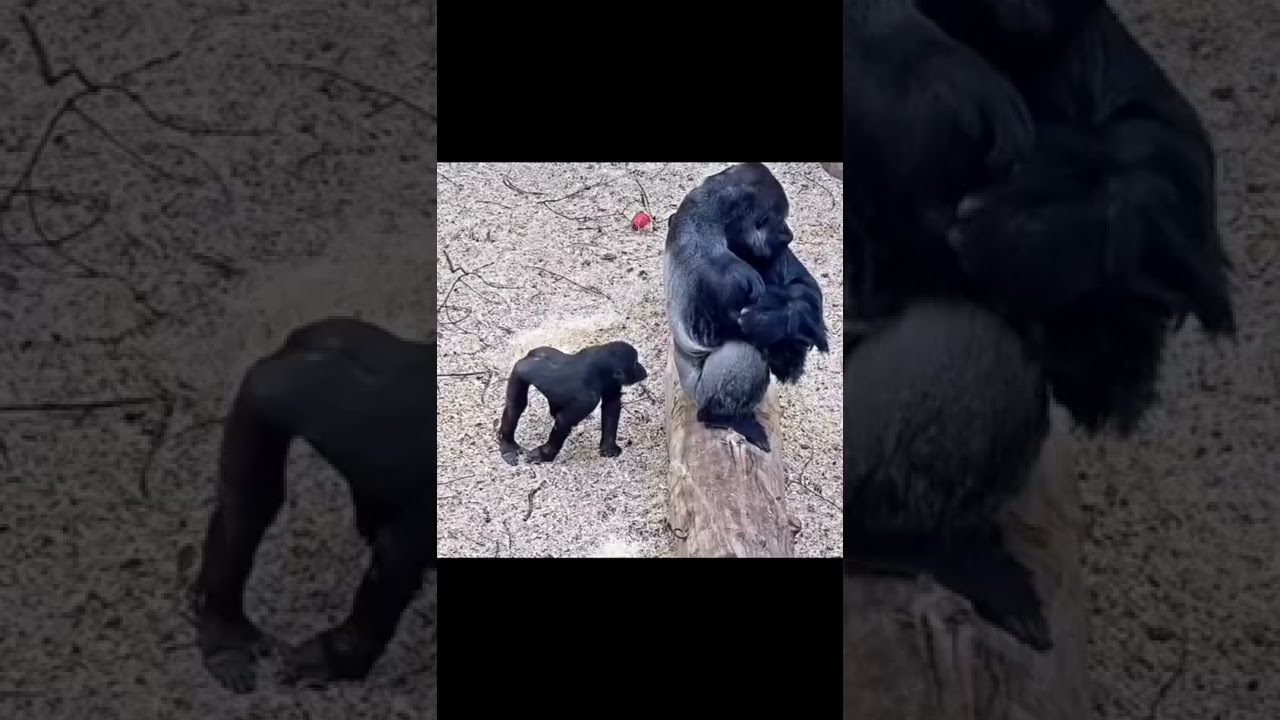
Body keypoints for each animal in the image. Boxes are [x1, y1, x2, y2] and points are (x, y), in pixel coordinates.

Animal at [497, 341, 648, 465]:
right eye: (635, 363)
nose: (643, 370)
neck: (600, 370)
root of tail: (530, 354)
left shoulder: (611, 382)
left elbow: (611, 405)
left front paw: (608, 447)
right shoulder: (587, 400)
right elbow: (563, 423)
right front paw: (544, 455)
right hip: (519, 371)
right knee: (515, 406)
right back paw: (508, 445)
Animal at [664, 162, 828, 453]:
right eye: (779, 220)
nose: (789, 234)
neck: (710, 223)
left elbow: (802, 288)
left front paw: (781, 321)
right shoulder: (731, 276)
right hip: (697, 393)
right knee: (746, 353)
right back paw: (721, 416)